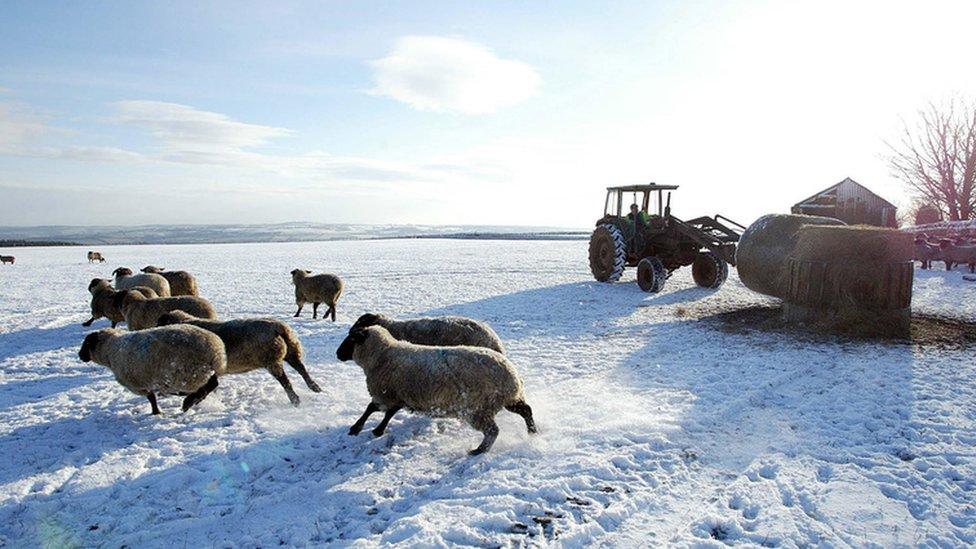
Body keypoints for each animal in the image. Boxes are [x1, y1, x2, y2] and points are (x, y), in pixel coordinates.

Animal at [78, 324, 227, 414]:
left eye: (87, 343)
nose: (80, 355)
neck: (110, 349)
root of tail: (216, 350)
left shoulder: (137, 385)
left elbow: (151, 397)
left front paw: (156, 412)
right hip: (200, 372)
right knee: (212, 384)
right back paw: (192, 400)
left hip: (190, 373)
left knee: (209, 385)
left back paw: (189, 402)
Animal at [156, 310, 322, 404]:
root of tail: (279, 328)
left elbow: (208, 386)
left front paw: (189, 401)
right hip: (291, 351)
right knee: (301, 368)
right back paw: (315, 387)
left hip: (272, 360)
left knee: (285, 381)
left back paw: (295, 400)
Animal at [334, 326, 532, 454]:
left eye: (351, 339)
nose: (337, 354)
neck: (382, 353)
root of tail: (512, 375)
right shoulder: (399, 394)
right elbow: (389, 412)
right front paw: (377, 430)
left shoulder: (385, 393)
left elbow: (372, 408)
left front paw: (356, 428)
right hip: (508, 400)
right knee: (526, 410)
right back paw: (532, 432)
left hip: (478, 408)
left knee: (493, 431)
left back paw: (478, 450)